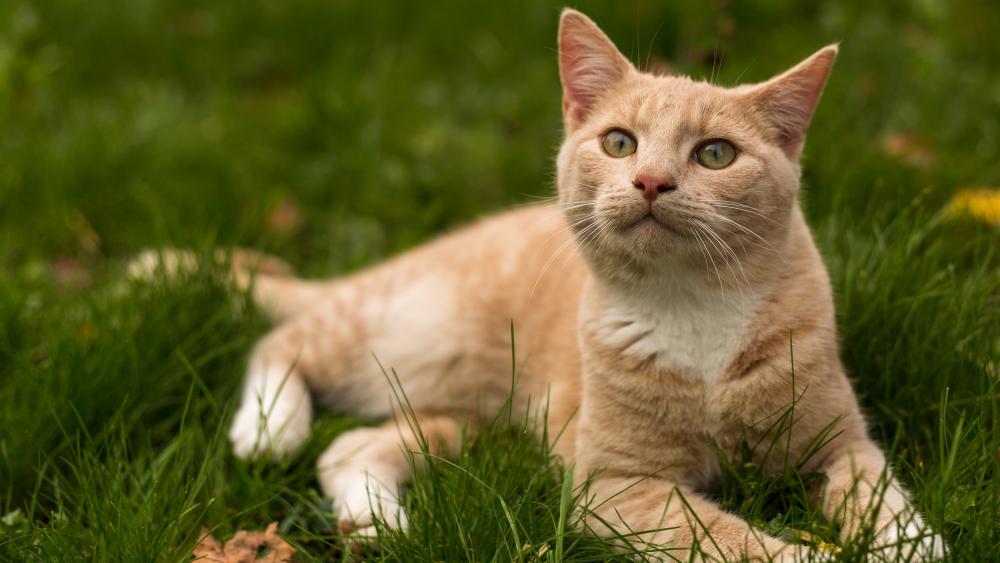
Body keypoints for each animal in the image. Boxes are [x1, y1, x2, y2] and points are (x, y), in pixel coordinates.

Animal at [133, 6, 944, 560]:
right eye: (619, 142)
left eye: (715, 154)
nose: (651, 181)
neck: (692, 309)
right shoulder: (617, 485)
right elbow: (732, 539)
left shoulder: (843, 444)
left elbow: (880, 495)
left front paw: (912, 543)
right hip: (403, 338)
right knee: (286, 341)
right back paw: (270, 426)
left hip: (470, 417)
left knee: (355, 449)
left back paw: (384, 526)